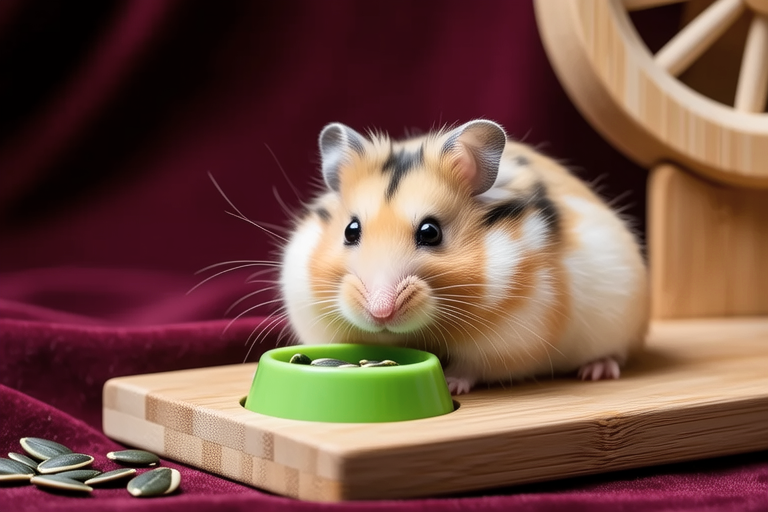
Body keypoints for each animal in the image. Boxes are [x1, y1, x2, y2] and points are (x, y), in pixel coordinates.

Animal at [279, 120, 648, 394]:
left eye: (431, 232)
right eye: (350, 230)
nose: (380, 312)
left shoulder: (512, 338)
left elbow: (472, 366)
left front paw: (452, 383)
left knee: (616, 354)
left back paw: (597, 371)